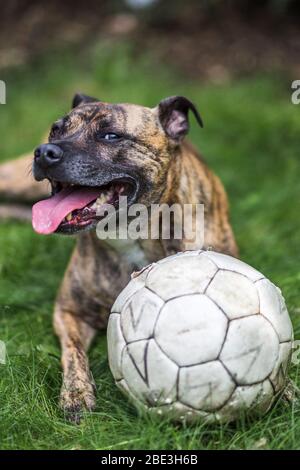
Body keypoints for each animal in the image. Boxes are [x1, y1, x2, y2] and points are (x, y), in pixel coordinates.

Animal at [0, 93, 239, 420]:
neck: (129, 232)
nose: (45, 152)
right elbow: (73, 353)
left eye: (111, 136)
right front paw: (76, 393)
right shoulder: (68, 311)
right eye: (56, 130)